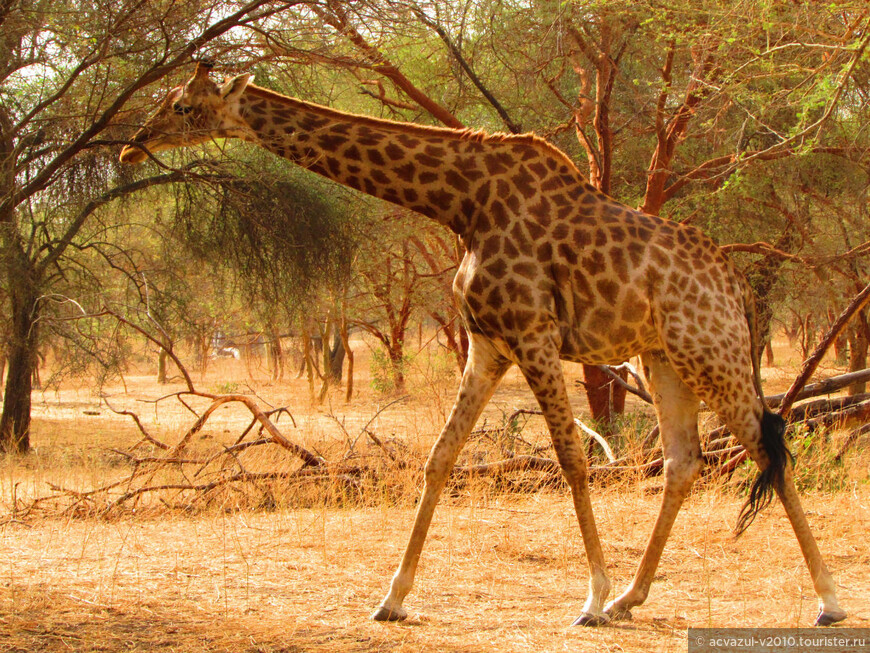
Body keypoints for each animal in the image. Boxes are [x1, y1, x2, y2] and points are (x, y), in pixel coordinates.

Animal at [119, 65, 848, 628]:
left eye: (181, 105)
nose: (131, 146)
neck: (461, 202)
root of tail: (736, 284)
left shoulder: (533, 330)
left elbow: (572, 458)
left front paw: (589, 597)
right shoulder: (488, 340)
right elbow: (440, 458)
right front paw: (392, 598)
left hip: (711, 350)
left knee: (765, 443)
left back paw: (827, 600)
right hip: (664, 356)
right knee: (684, 460)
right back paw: (634, 597)